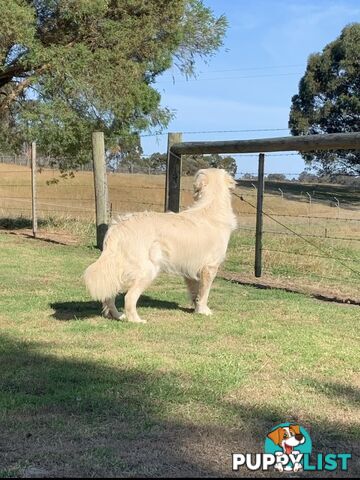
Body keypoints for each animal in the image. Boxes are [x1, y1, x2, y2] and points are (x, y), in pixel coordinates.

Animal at [83, 168, 238, 322]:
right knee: (129, 297)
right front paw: (204, 311)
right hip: (148, 269)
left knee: (109, 295)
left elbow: (196, 293)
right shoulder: (210, 267)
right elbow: (204, 292)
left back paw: (118, 315)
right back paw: (136, 320)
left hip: (119, 269)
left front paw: (196, 309)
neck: (211, 205)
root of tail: (119, 226)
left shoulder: (190, 268)